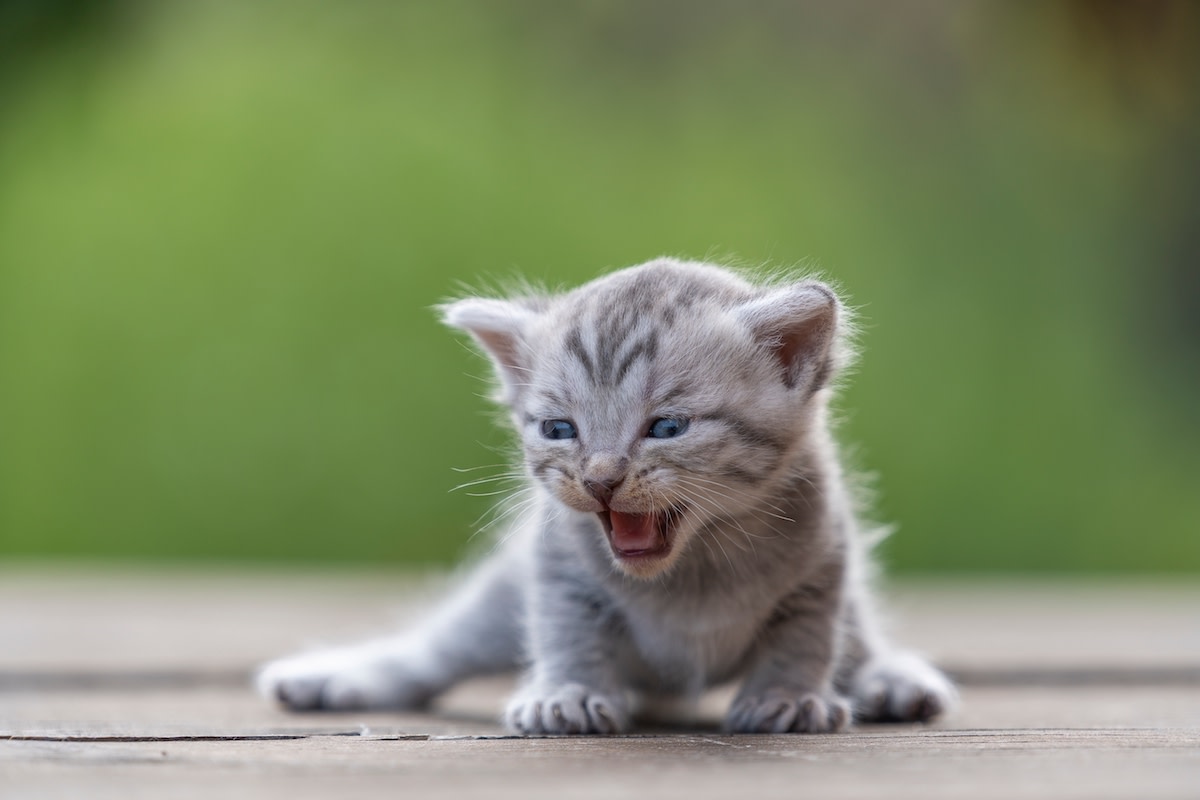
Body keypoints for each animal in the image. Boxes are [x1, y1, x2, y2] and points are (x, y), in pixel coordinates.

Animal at [260, 260, 955, 734]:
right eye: (559, 429)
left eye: (667, 428)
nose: (599, 478)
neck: (692, 574)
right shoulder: (558, 568)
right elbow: (566, 629)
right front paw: (565, 693)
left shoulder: (823, 561)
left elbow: (807, 636)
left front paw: (787, 697)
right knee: (436, 648)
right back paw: (337, 676)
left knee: (859, 637)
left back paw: (890, 678)